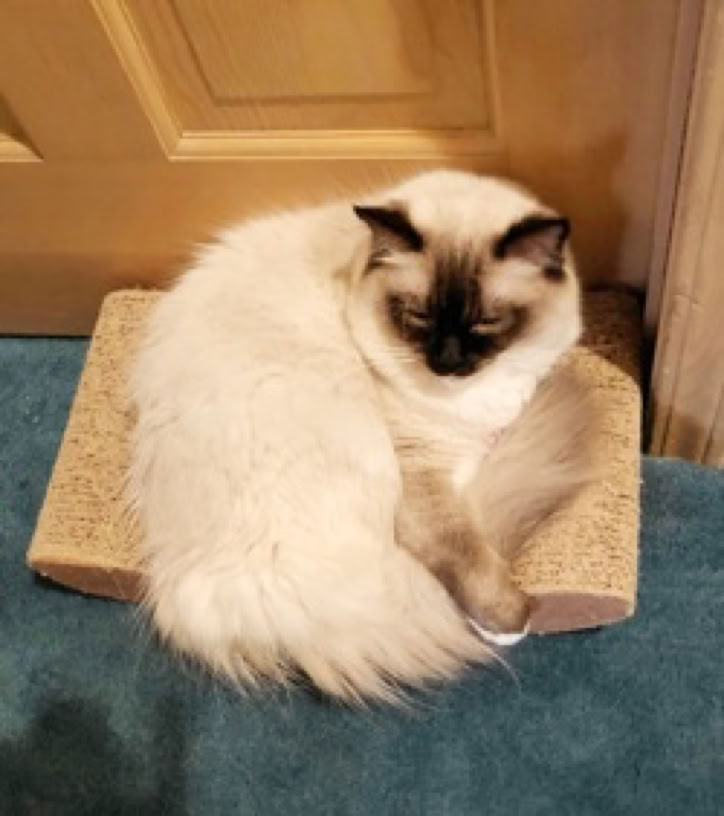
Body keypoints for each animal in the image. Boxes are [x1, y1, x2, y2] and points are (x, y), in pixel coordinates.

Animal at [128, 169, 591, 702]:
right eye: (419, 317)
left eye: (486, 322)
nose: (447, 362)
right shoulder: (427, 472)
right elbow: (465, 546)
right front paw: (510, 620)